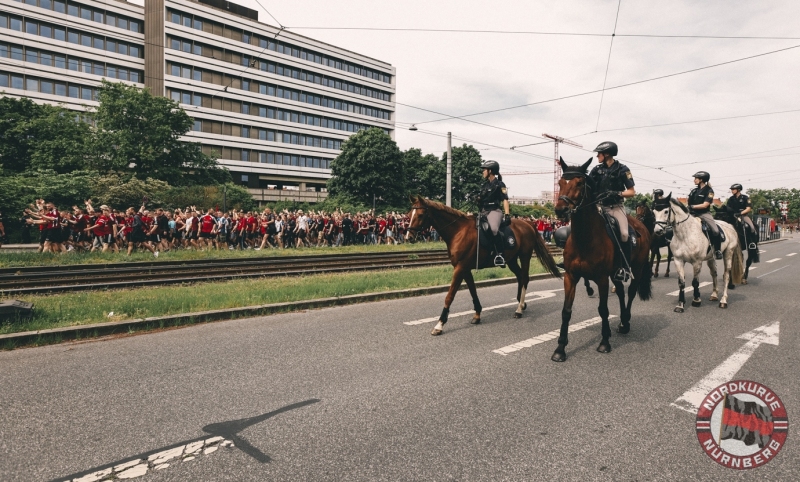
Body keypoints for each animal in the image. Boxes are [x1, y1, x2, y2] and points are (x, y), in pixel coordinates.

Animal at [406, 195, 564, 336]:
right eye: (409, 215)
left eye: (420, 215)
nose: (409, 237)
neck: (458, 231)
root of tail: (528, 224)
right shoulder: (465, 268)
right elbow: (473, 290)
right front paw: (477, 314)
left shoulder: (460, 268)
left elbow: (449, 296)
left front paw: (439, 324)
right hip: (512, 260)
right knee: (520, 276)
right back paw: (522, 303)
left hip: (524, 256)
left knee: (524, 278)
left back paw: (519, 309)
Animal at [552, 158, 652, 362]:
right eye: (560, 182)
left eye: (579, 183)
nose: (560, 210)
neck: (584, 239)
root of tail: (641, 225)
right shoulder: (571, 276)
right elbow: (566, 311)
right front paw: (560, 348)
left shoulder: (601, 278)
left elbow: (603, 309)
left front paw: (604, 342)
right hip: (615, 274)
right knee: (621, 292)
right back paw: (621, 322)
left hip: (636, 269)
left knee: (631, 292)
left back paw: (625, 322)